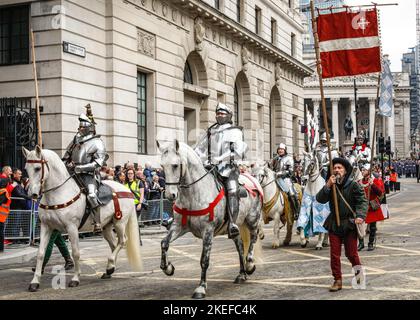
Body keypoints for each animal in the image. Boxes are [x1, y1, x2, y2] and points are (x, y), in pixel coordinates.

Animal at [23, 146, 143, 292]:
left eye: (37, 168)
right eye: (26, 169)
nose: (32, 194)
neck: (58, 193)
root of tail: (126, 190)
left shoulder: (72, 227)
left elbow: (75, 253)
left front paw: (75, 279)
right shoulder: (47, 227)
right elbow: (41, 253)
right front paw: (34, 282)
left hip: (120, 222)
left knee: (122, 241)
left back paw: (110, 266)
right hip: (106, 226)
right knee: (114, 244)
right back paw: (109, 269)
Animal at [158, 141, 262, 298]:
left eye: (175, 165)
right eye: (162, 166)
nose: (170, 195)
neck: (193, 194)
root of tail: (253, 179)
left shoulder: (208, 230)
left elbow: (204, 260)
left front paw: (201, 288)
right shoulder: (179, 227)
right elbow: (164, 243)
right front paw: (168, 268)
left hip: (252, 219)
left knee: (253, 238)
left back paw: (249, 264)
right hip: (236, 226)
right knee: (239, 246)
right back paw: (241, 274)